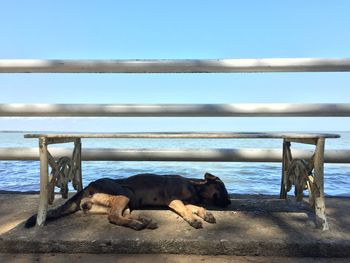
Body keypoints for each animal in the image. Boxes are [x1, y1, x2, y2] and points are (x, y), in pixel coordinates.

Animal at [26, 173, 231, 231]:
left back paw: (144, 220)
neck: (194, 186)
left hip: (123, 202)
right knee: (113, 217)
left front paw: (206, 214)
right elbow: (188, 211)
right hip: (124, 194)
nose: (229, 202)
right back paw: (137, 224)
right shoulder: (175, 201)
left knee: (118, 215)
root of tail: (89, 186)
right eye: (222, 188)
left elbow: (197, 206)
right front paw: (195, 220)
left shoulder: (184, 201)